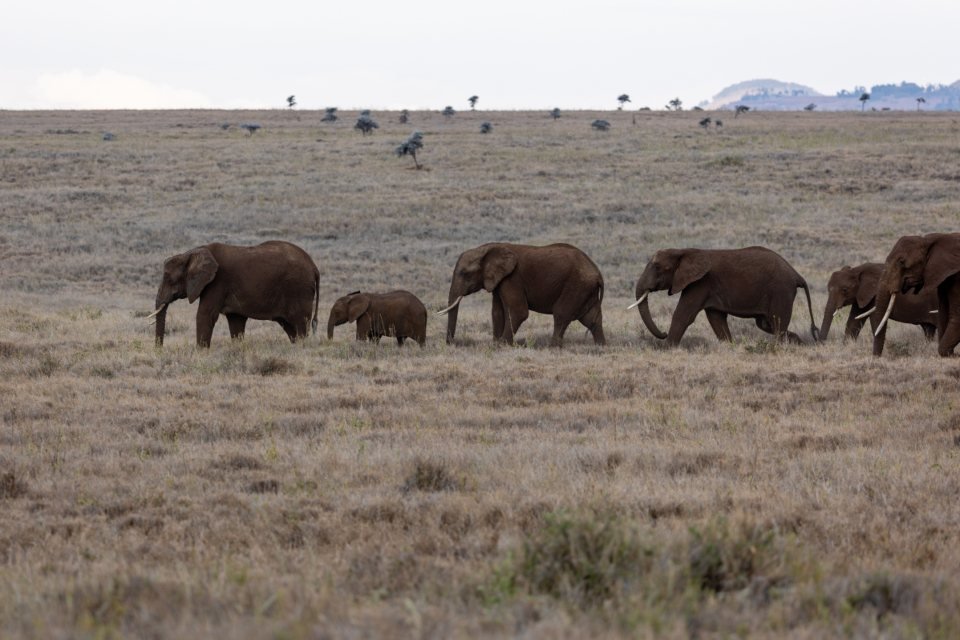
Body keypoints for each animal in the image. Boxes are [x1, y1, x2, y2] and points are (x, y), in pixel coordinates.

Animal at [149, 241, 320, 347]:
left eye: (169, 279)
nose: (159, 351)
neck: (192, 253)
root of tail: (314, 266)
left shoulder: (217, 282)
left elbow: (205, 315)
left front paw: (200, 353)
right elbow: (236, 321)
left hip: (299, 289)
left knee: (300, 324)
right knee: (290, 327)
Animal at [438, 242, 606, 347]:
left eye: (464, 273)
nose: (451, 344)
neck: (487, 248)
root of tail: (597, 272)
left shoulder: (512, 278)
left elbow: (518, 312)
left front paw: (502, 345)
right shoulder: (499, 280)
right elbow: (497, 312)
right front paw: (495, 344)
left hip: (576, 285)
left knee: (561, 314)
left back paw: (552, 347)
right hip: (585, 288)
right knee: (591, 318)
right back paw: (601, 347)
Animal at [631, 246, 819, 346]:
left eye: (657, 267)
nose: (662, 333)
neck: (685, 250)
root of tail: (796, 274)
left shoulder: (700, 283)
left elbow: (683, 315)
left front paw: (668, 348)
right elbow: (716, 319)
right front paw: (729, 345)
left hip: (781, 290)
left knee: (777, 323)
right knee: (767, 324)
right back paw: (797, 342)